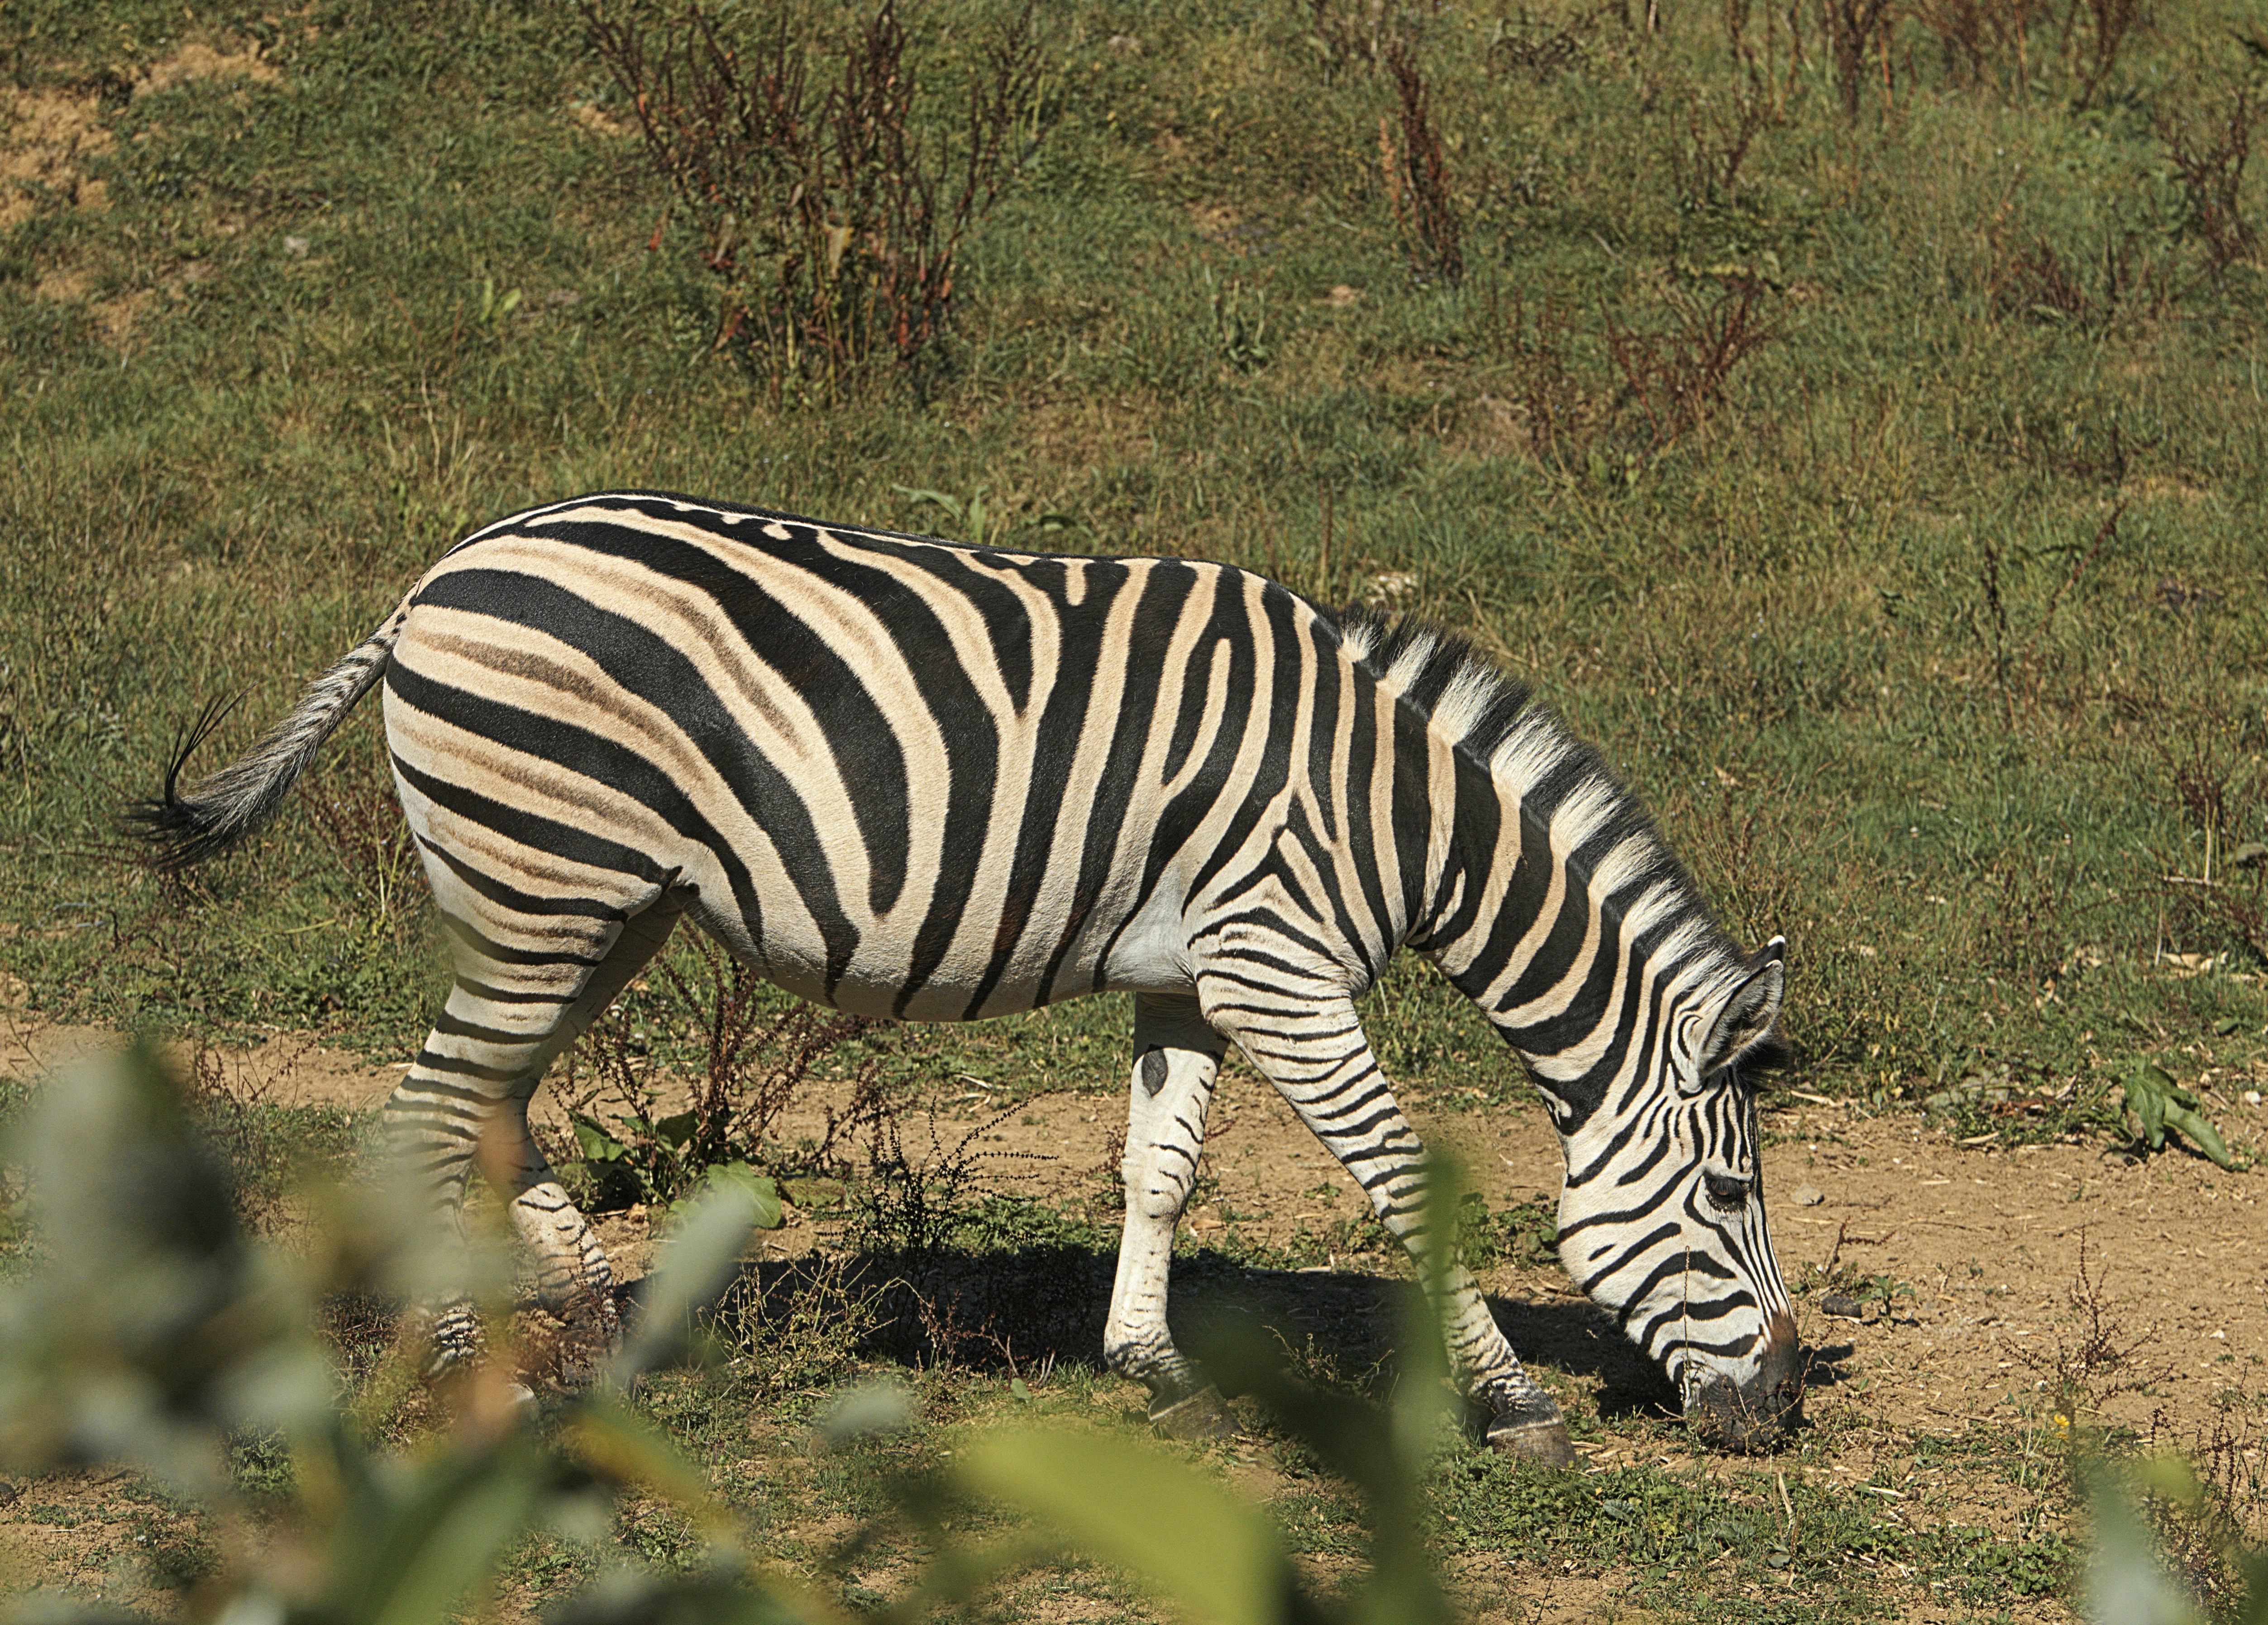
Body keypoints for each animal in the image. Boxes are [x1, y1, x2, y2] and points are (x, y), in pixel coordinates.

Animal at [135, 490, 1803, 1459]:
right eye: (1732, 1193)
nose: (1783, 1411)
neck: (1390, 810)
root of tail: (434, 581)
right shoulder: (1278, 967)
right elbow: (1401, 1175)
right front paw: (1513, 1399)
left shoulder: (1191, 974)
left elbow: (1159, 1167)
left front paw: (1150, 1362)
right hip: (547, 884)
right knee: (432, 1110)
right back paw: (471, 1368)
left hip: (602, 909)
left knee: (492, 1102)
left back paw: (606, 1333)